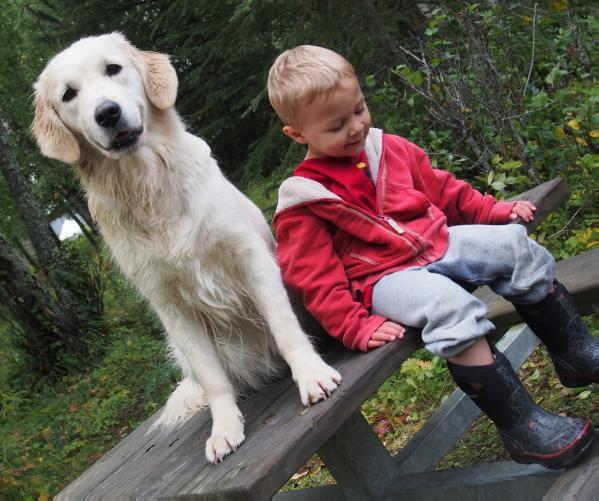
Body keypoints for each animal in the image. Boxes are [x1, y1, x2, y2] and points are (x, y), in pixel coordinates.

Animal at [32, 33, 342, 462]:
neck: (148, 185)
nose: (107, 113)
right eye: (68, 95)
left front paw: (311, 374)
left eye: (113, 68)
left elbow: (284, 326)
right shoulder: (169, 305)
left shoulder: (251, 258)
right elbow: (212, 377)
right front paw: (225, 426)